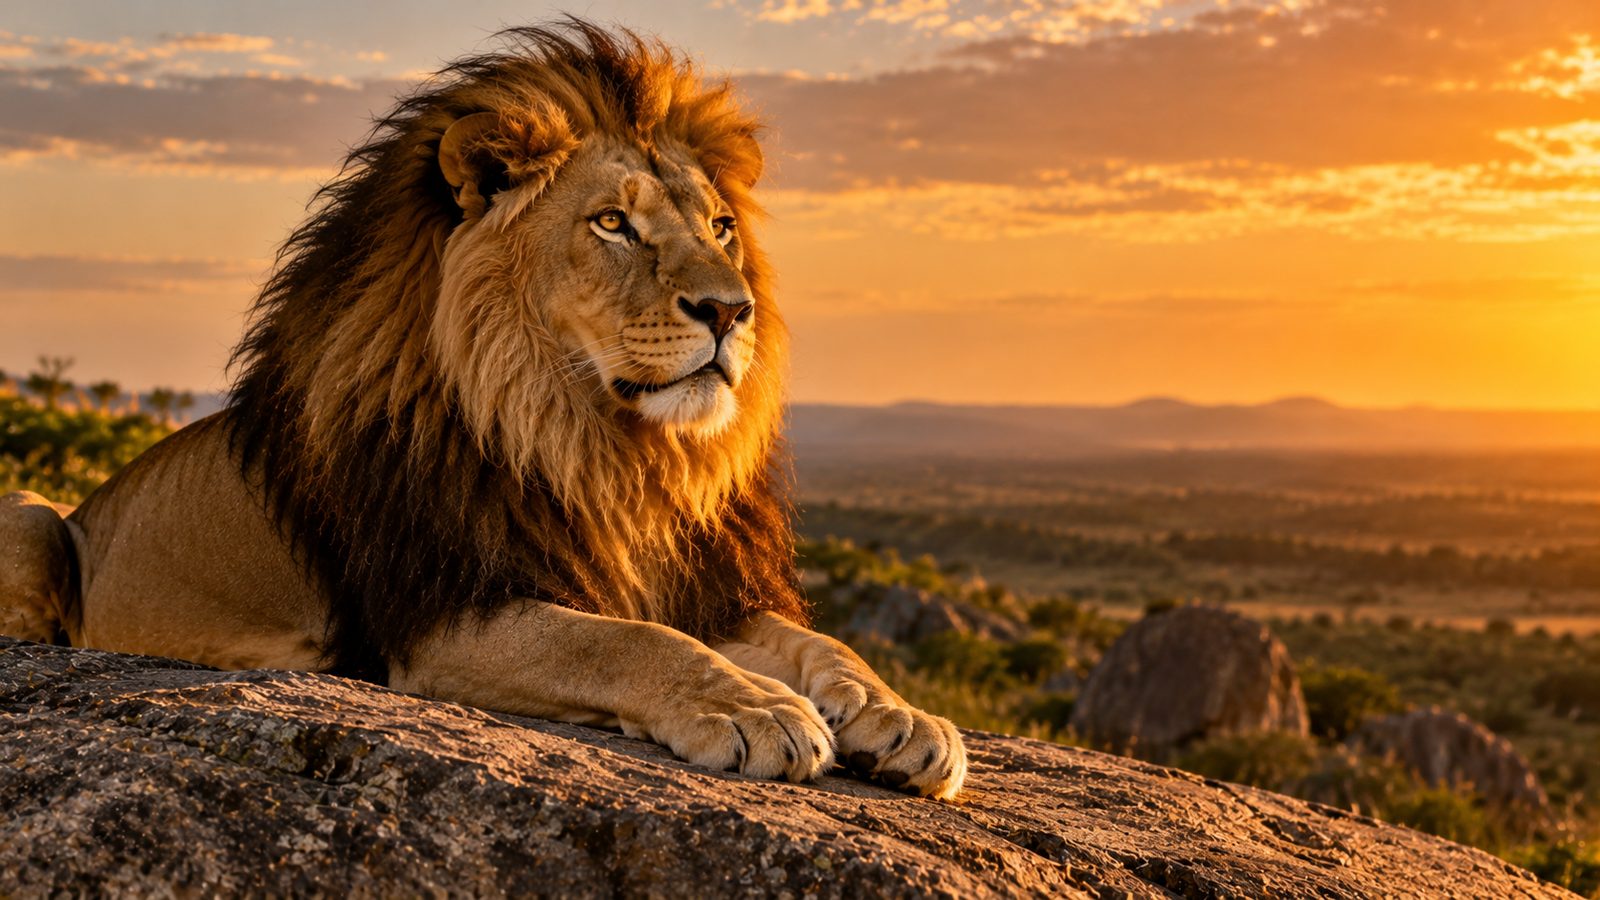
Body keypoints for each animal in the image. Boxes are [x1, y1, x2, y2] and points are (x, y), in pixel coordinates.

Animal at [0, 22, 965, 798]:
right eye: (612, 224)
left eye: (722, 228)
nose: (732, 311)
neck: (601, 447)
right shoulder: (442, 613)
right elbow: (627, 642)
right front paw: (756, 708)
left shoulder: (697, 581)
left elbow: (815, 642)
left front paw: (901, 717)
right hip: (34, 519)